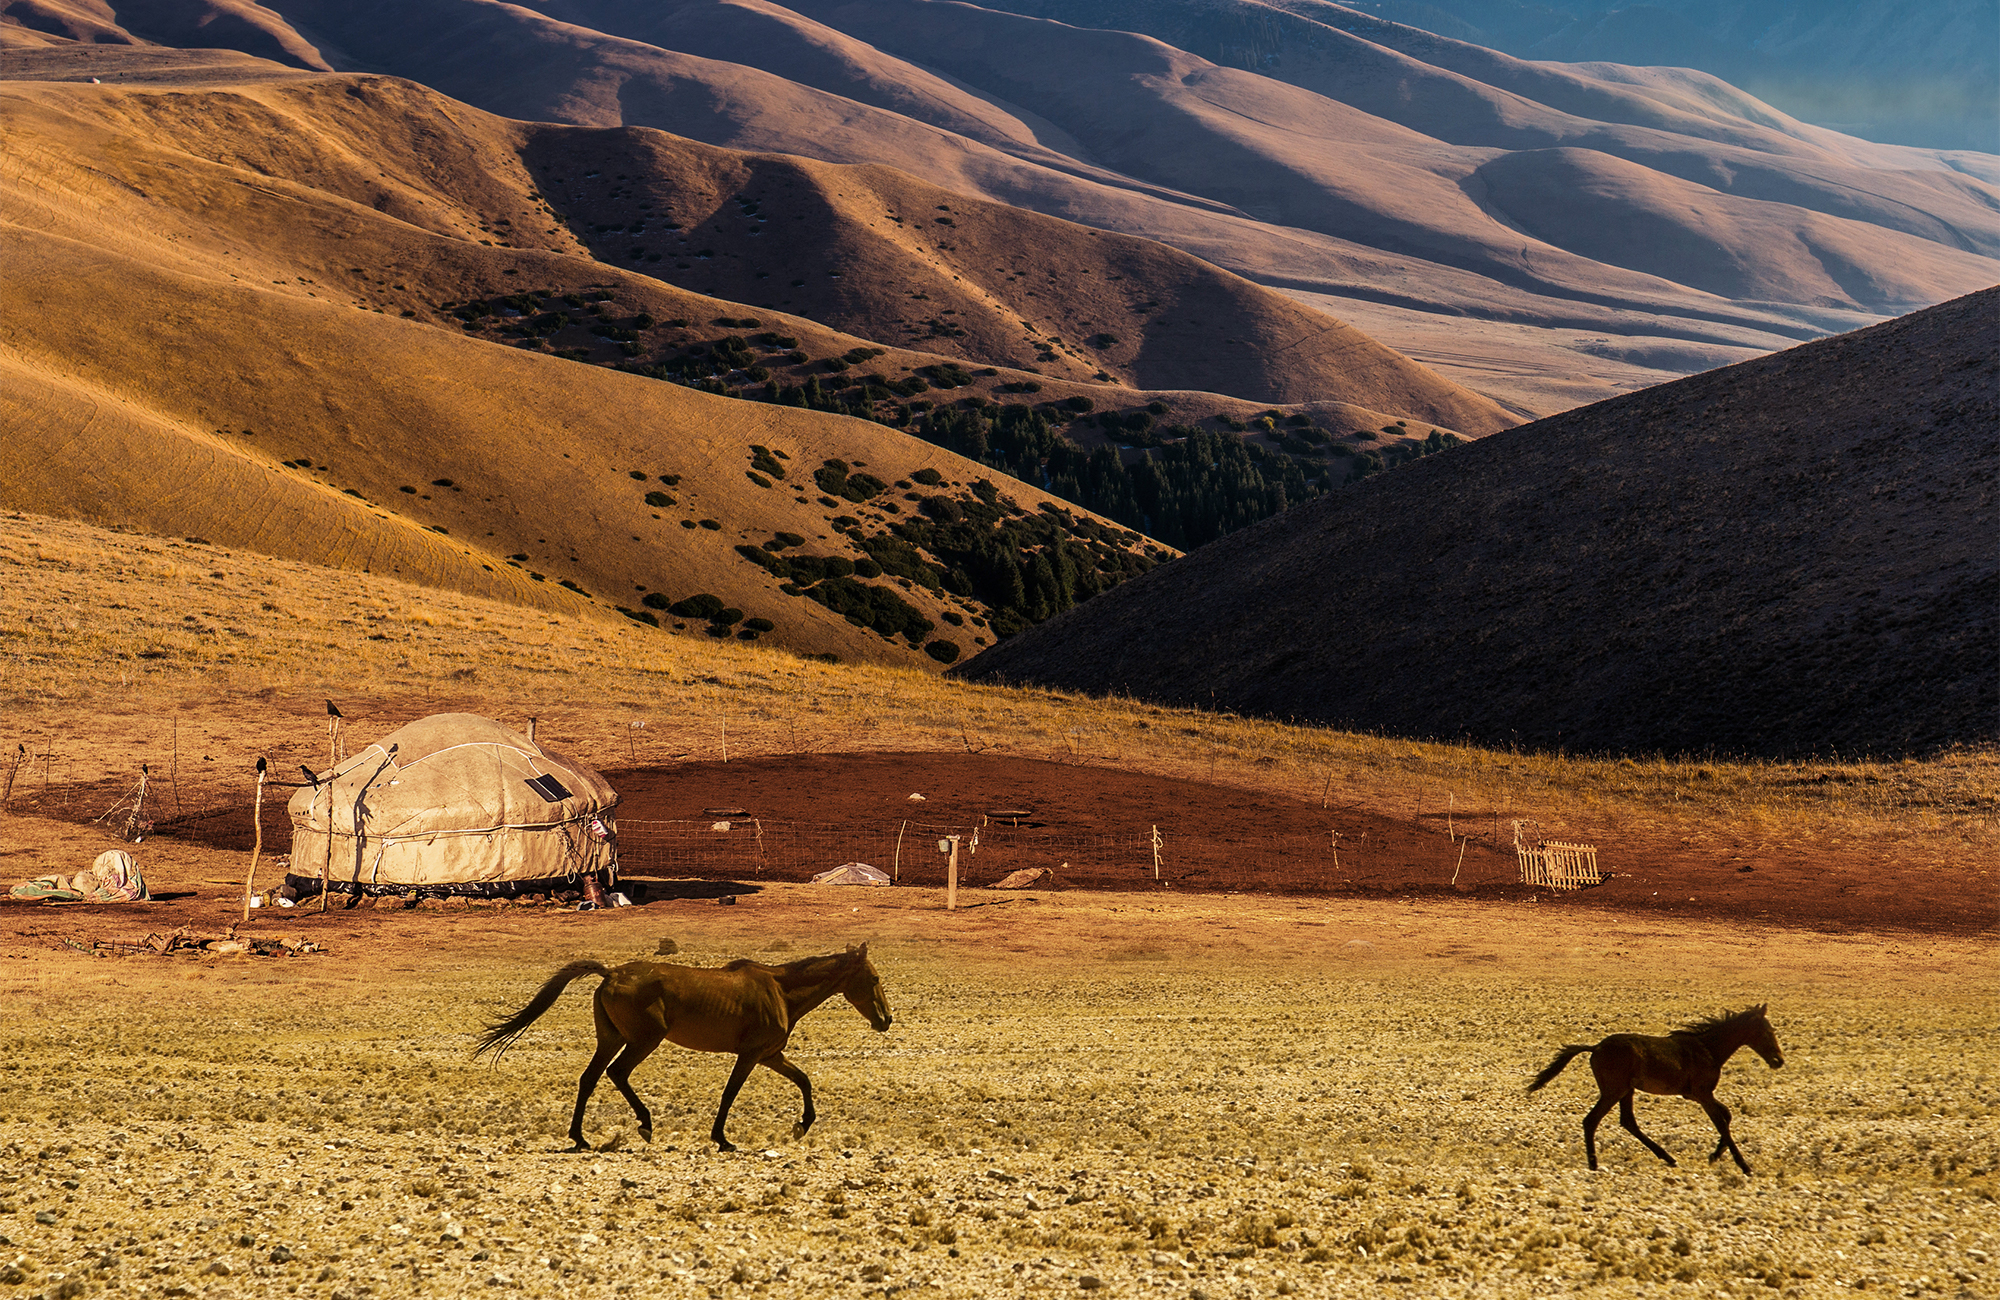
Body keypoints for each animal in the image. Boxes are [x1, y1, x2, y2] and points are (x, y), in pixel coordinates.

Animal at [475, 943, 892, 1152]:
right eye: (873, 978)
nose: (886, 1019)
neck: (780, 990)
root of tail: (612, 973)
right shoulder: (751, 1055)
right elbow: (729, 1094)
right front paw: (722, 1139)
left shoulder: (770, 1055)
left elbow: (803, 1080)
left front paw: (802, 1125)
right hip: (643, 1039)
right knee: (616, 1073)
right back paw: (644, 1124)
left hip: (611, 1039)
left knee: (589, 1078)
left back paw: (579, 1137)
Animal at [1527, 1004, 1784, 1174]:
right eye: (1767, 1032)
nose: (1778, 1061)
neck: (1709, 1049)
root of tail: (1596, 1047)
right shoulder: (1702, 1094)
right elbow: (1721, 1122)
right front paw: (1744, 1166)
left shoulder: (1695, 1095)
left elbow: (1727, 1116)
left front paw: (1714, 1156)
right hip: (1613, 1091)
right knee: (1592, 1121)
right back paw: (1594, 1165)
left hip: (1626, 1091)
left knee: (1628, 1121)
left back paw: (1667, 1157)